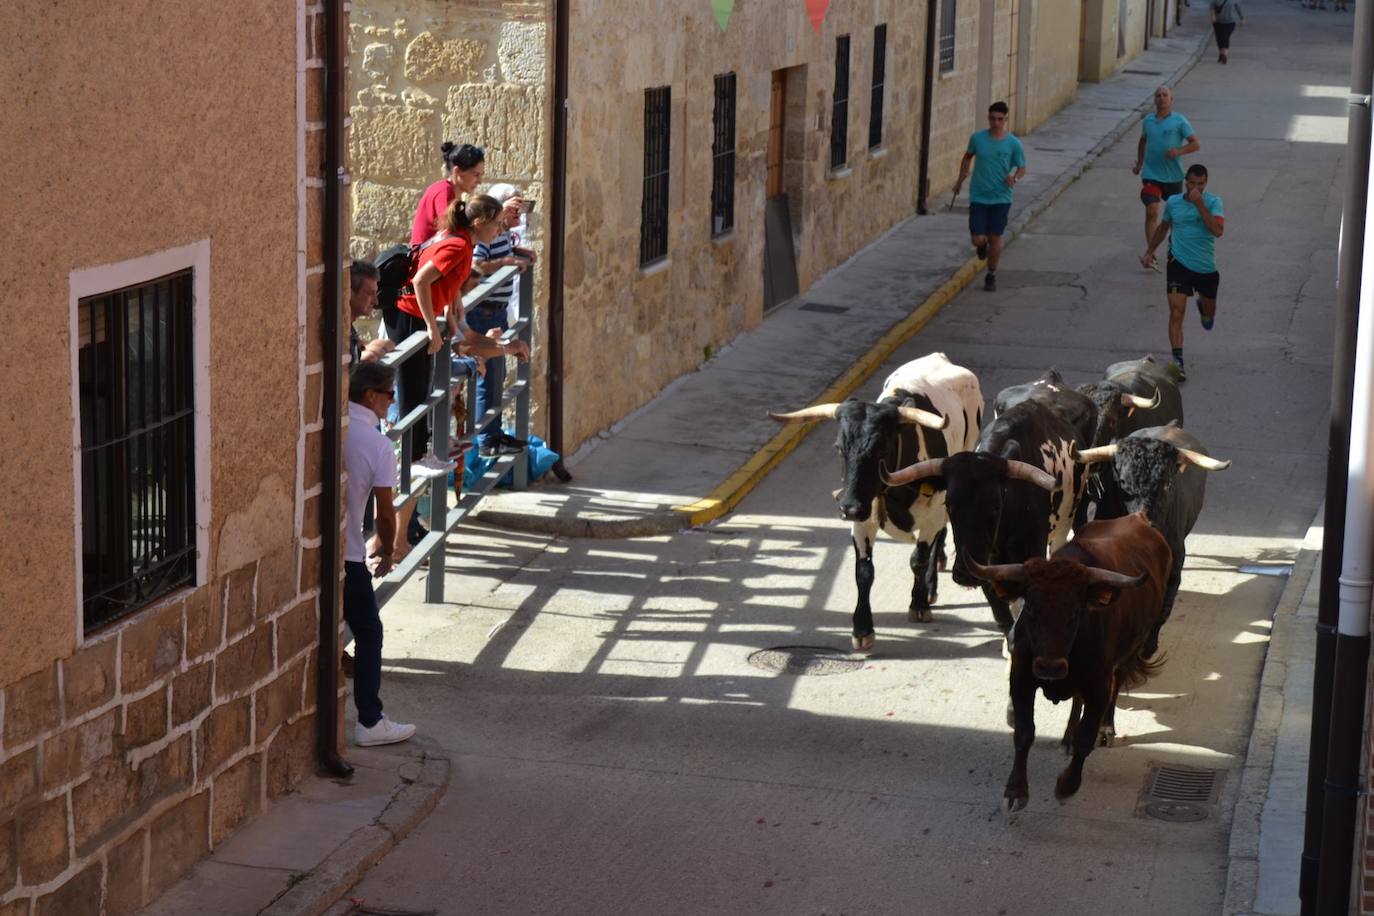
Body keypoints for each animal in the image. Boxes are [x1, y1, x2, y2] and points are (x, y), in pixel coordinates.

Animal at [769, 351, 983, 650]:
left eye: (881, 448)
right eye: (839, 448)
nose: (848, 507)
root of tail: (940, 357)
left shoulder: (931, 514)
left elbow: (918, 559)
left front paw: (919, 603)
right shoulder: (863, 521)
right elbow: (863, 572)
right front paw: (862, 629)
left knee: (940, 534)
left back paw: (931, 585)